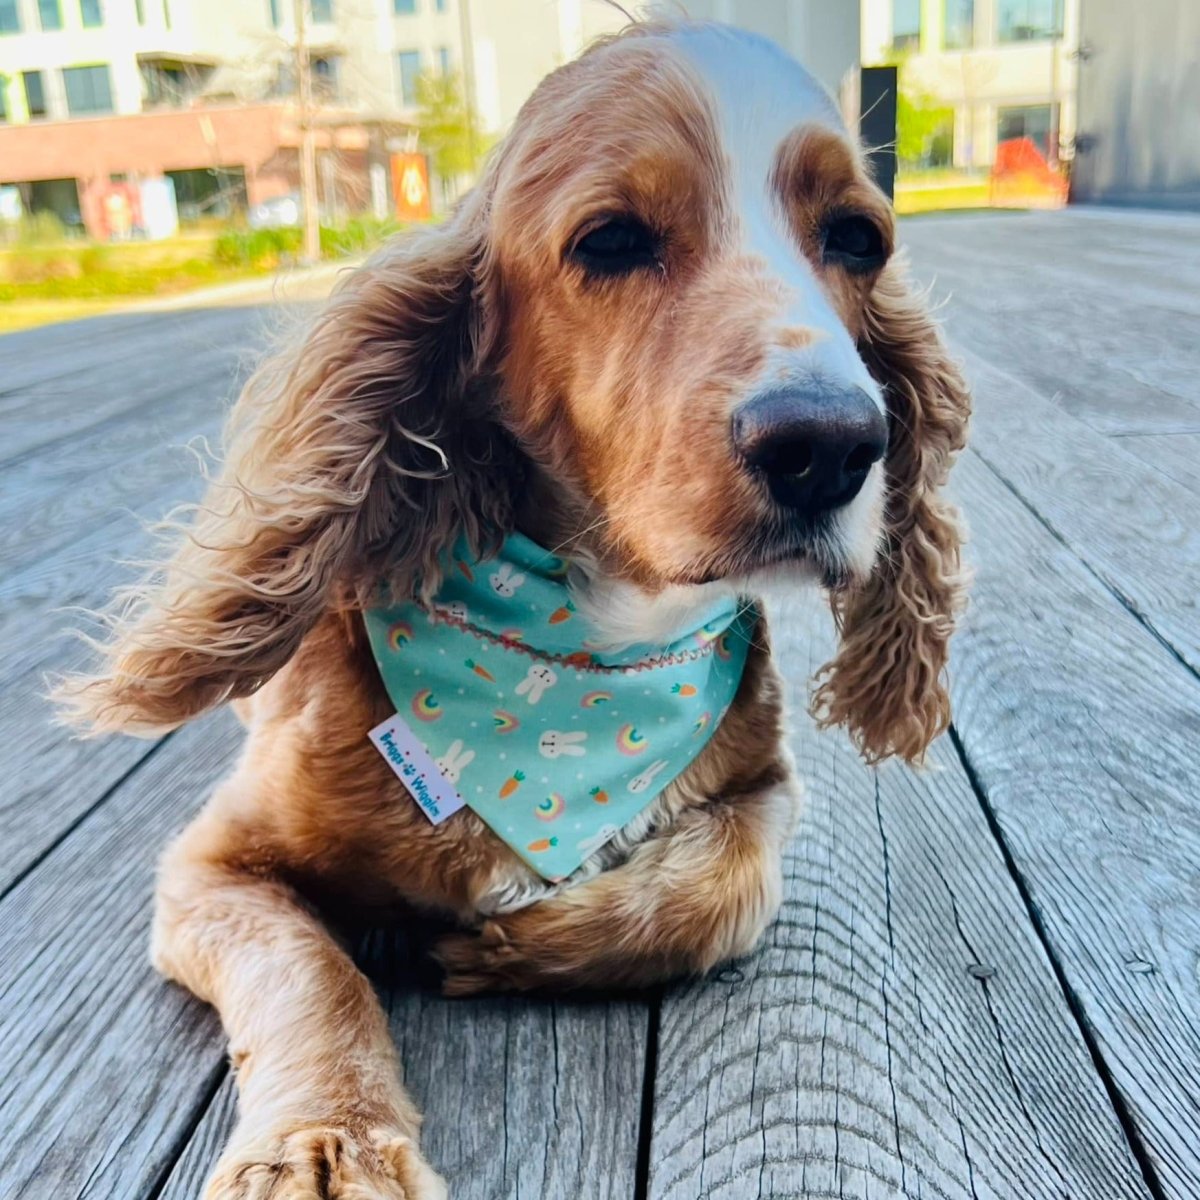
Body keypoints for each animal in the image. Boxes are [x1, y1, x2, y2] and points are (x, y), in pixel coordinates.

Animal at [60, 21, 969, 1200]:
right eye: (612, 239)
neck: (577, 667)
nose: (830, 446)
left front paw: (515, 943)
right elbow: (309, 967)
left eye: (859, 237)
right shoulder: (212, 866)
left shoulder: (763, 787)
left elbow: (729, 884)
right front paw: (327, 1142)